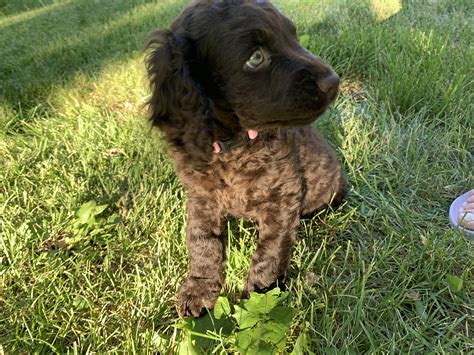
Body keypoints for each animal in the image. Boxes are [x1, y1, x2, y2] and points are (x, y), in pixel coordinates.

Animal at [146, 0, 346, 318]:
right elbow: (201, 241)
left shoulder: (283, 196)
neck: (233, 145)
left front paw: (262, 298)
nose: (332, 81)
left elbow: (271, 249)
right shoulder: (201, 197)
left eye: (292, 36)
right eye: (255, 58)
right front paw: (199, 288)